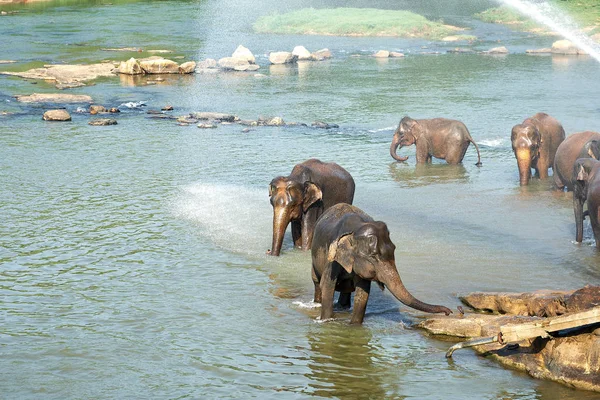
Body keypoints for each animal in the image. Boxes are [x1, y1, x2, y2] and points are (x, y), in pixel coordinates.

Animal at [312, 203, 452, 324]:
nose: (448, 312)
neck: (356, 229)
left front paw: (354, 325)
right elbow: (327, 286)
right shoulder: (332, 257)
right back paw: (317, 304)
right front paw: (326, 320)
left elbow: (363, 293)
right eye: (373, 256)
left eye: (394, 249)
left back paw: (342, 308)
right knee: (317, 281)